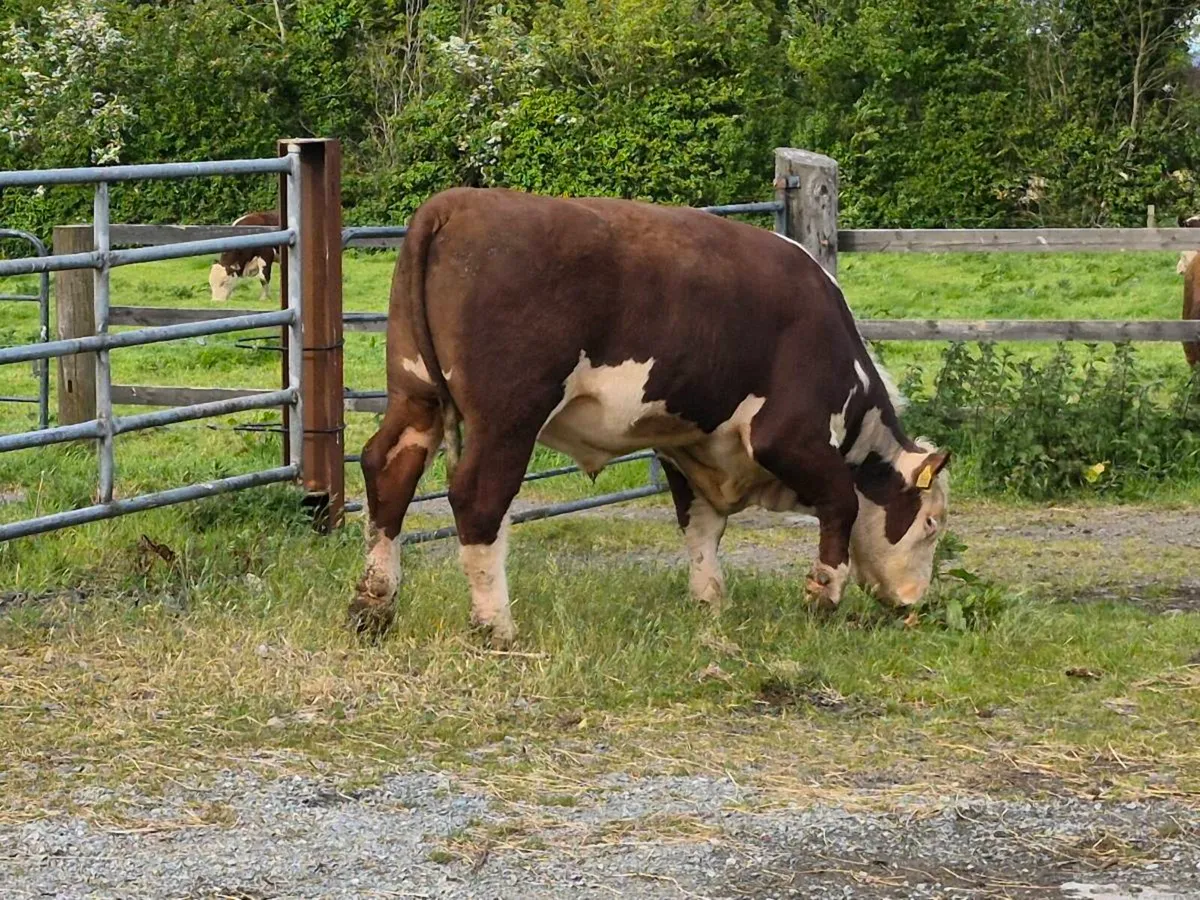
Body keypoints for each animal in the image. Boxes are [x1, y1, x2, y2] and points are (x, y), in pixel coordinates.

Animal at [350, 187, 951, 646]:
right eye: (930, 524)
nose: (914, 603)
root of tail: (457, 202)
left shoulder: (689, 442)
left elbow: (702, 526)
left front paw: (710, 602)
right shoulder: (787, 435)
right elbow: (841, 505)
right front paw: (822, 597)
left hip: (416, 396)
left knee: (388, 471)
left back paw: (374, 607)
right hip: (508, 416)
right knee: (479, 498)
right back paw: (495, 625)